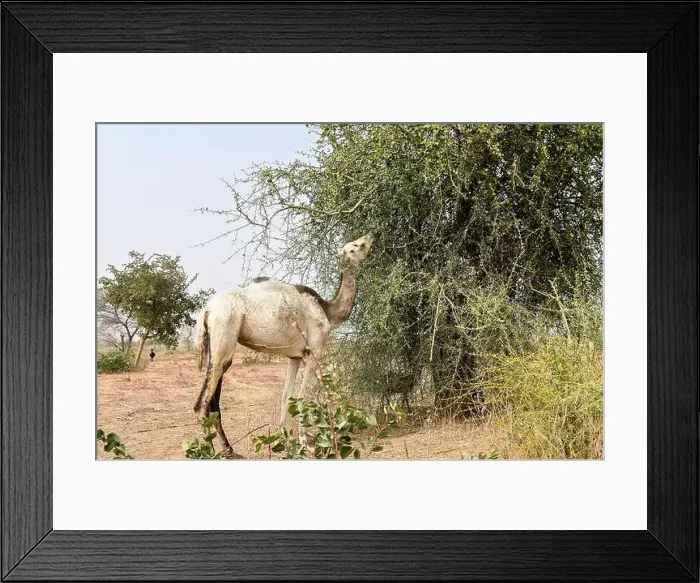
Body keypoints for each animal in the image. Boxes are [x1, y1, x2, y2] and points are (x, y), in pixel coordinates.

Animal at [193, 233, 375, 456]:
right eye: (357, 245)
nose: (371, 236)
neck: (328, 312)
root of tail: (207, 310)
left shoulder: (294, 357)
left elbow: (286, 396)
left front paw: (284, 438)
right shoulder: (315, 351)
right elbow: (304, 397)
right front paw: (306, 443)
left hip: (215, 345)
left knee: (212, 400)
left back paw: (228, 450)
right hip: (225, 332)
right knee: (203, 403)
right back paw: (215, 451)